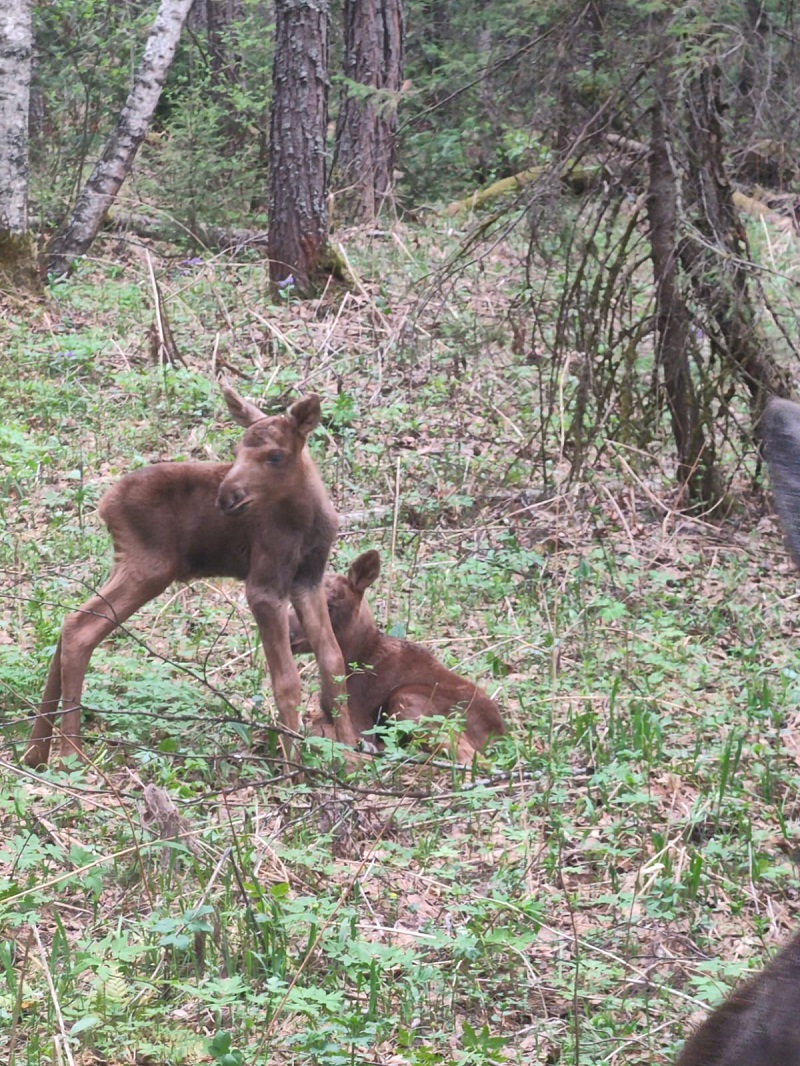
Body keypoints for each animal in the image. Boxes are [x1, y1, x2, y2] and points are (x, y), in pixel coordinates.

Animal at [25, 388, 358, 771]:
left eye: (275, 456)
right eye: (237, 451)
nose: (227, 497)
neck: (305, 521)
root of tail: (104, 505)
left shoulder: (309, 579)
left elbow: (333, 661)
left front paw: (353, 758)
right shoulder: (263, 585)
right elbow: (286, 681)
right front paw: (296, 770)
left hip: (130, 564)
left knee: (69, 622)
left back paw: (36, 751)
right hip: (148, 566)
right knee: (80, 629)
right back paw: (70, 753)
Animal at [290, 550, 507, 758]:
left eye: (330, 605)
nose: (289, 634)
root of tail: (498, 735)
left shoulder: (358, 720)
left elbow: (316, 732)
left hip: (408, 700)